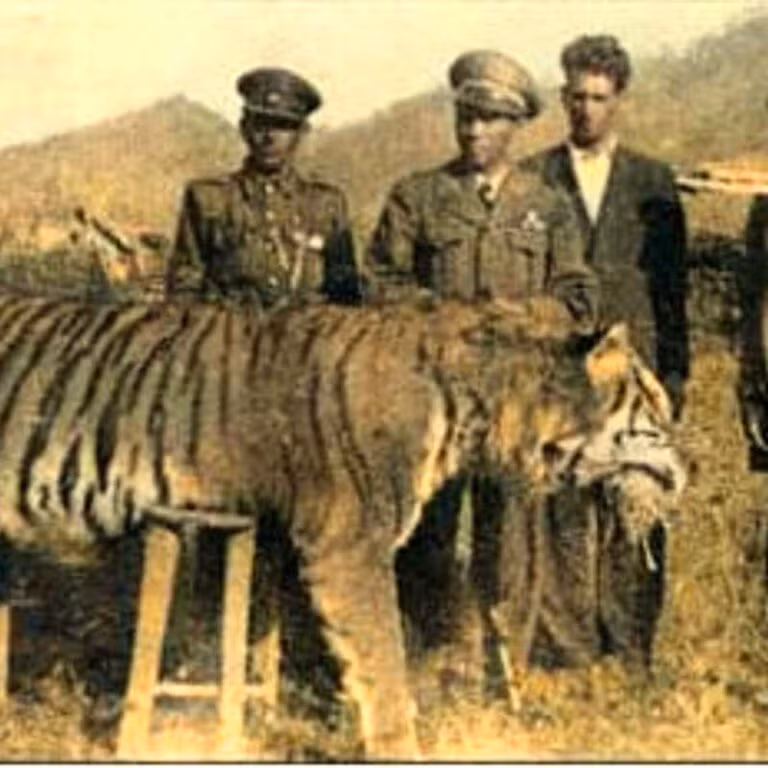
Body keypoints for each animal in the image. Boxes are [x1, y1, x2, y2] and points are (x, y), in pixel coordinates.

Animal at [0, 293, 684, 759]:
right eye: (655, 404)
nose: (689, 467)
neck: (485, 408)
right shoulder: (349, 545)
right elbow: (384, 663)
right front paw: (398, 745)